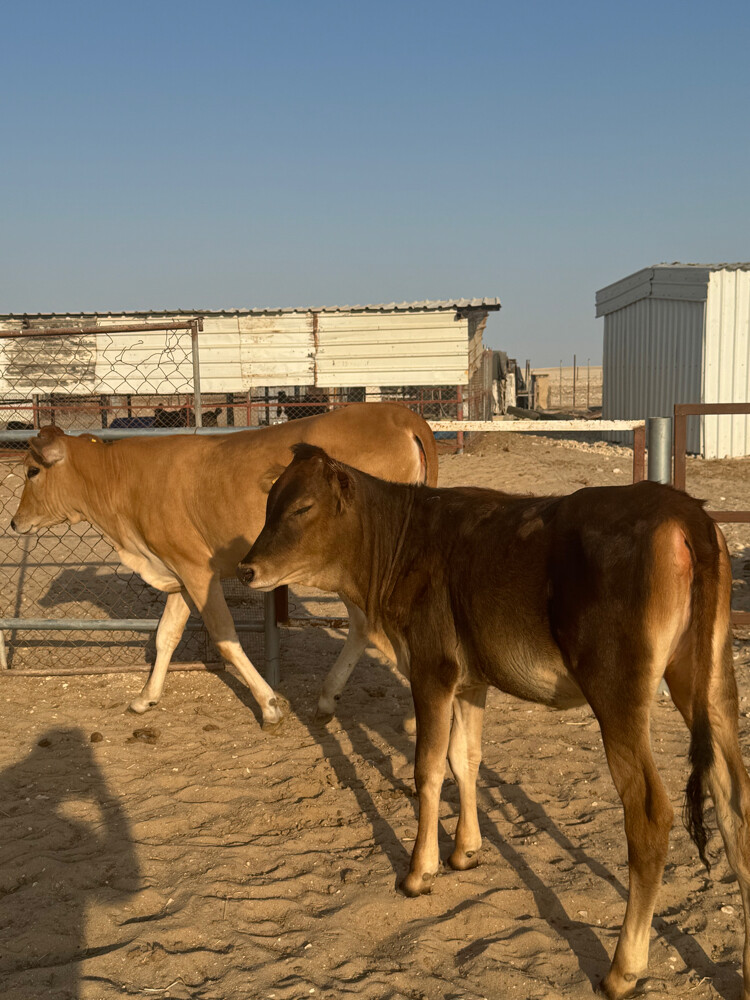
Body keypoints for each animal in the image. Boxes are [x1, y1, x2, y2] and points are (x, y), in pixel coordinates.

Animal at [10, 404, 437, 730]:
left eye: (32, 471)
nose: (14, 523)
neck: (123, 481)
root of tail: (397, 413)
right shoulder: (180, 572)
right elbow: (166, 635)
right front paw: (145, 697)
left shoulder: (198, 569)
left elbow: (224, 637)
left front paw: (269, 705)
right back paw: (330, 700)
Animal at [238, 444, 750, 1000]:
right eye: (269, 502)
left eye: (302, 507)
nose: (246, 569)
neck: (401, 542)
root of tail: (682, 509)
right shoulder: (470, 681)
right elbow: (466, 759)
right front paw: (466, 850)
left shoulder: (432, 667)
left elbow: (427, 769)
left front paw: (418, 873)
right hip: (710, 682)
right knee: (734, 799)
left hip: (618, 691)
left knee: (651, 813)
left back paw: (623, 969)